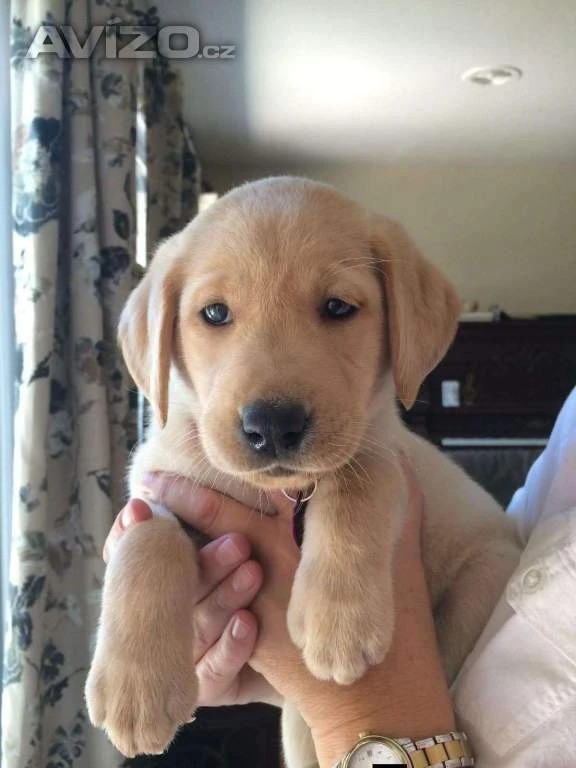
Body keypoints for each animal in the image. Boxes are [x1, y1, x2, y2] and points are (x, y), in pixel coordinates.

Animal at [85, 176, 521, 767]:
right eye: (215, 314)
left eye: (337, 307)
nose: (272, 426)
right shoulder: (155, 481)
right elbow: (146, 538)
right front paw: (133, 688)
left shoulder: (384, 449)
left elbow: (355, 481)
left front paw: (337, 623)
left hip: (486, 573)